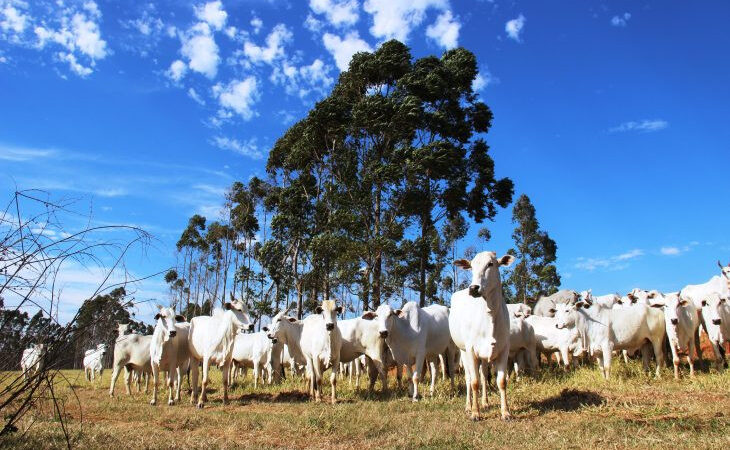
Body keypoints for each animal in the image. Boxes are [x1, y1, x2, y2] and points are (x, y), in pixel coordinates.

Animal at [446, 251, 516, 420]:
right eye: (471, 266)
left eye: (491, 264)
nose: (473, 288)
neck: (489, 315)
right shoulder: (471, 350)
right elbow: (474, 382)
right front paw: (475, 413)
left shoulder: (503, 349)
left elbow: (501, 381)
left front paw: (505, 412)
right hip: (463, 351)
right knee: (469, 377)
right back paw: (468, 405)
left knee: (484, 375)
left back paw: (485, 402)